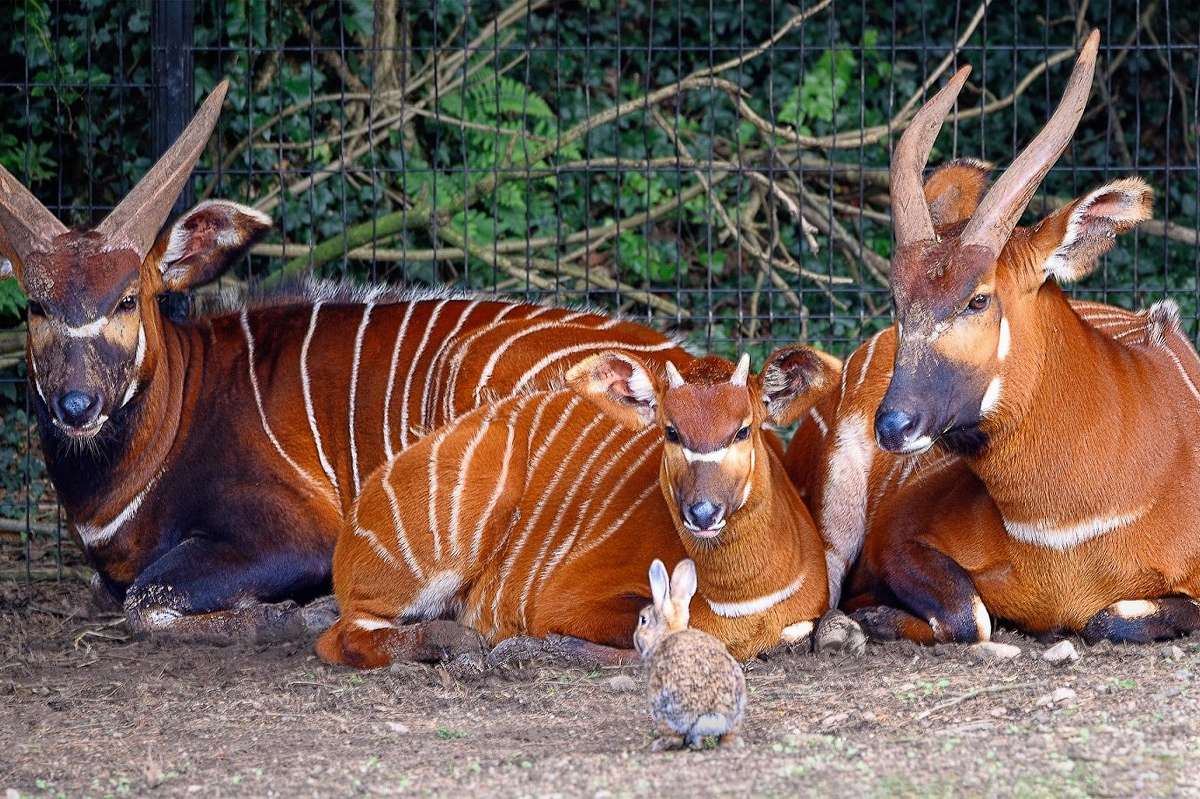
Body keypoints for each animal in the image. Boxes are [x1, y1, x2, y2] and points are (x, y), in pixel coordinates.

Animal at [634, 558, 747, 751]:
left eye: (643, 620)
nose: (635, 638)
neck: (668, 632)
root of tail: (715, 715)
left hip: (665, 708)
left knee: (677, 737)